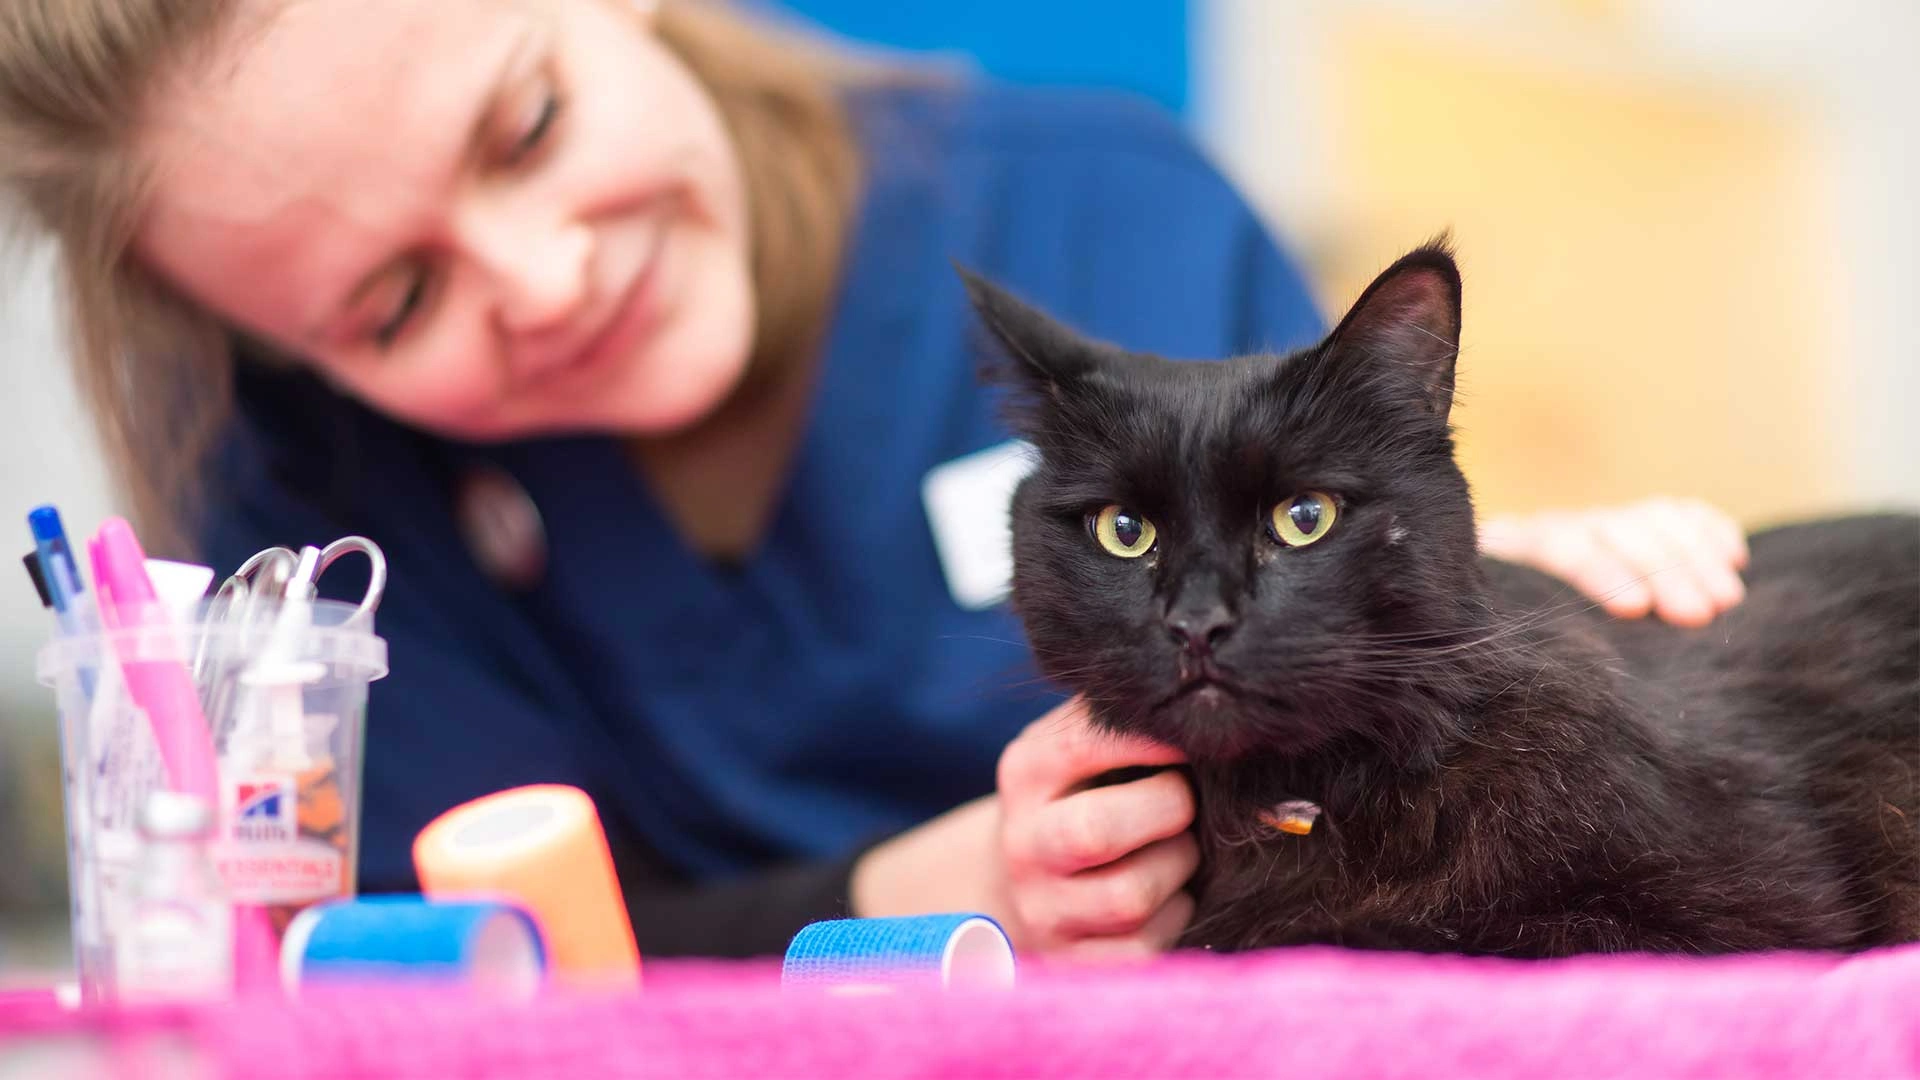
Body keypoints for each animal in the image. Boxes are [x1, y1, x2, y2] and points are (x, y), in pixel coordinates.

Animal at [967, 242, 1912, 949]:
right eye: (1124, 531)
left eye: (1304, 518)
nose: (1198, 623)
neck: (1305, 791)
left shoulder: (1741, 916)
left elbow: (1381, 933)